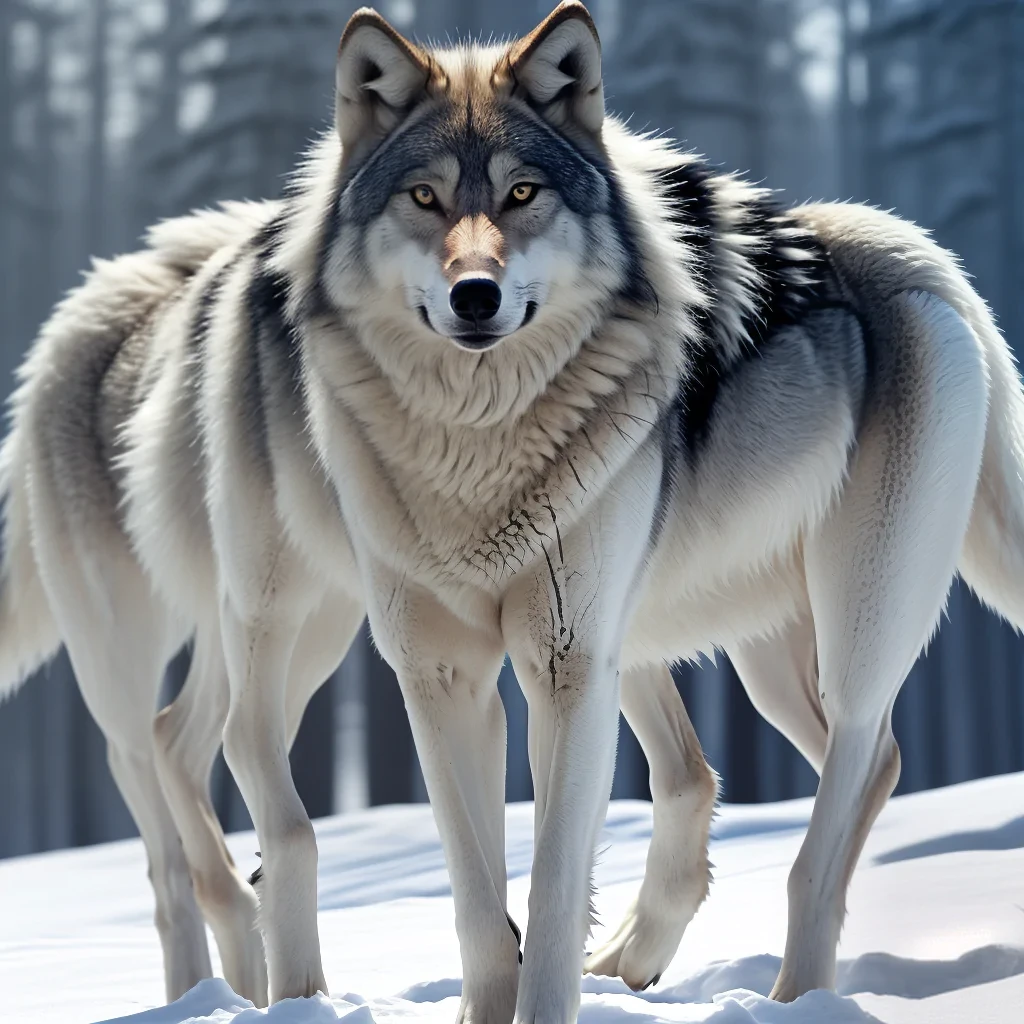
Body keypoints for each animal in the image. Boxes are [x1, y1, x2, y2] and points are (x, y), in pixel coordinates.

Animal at [2, 0, 1022, 1019]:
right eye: (424, 199)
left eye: (524, 193)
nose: (476, 295)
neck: (474, 446)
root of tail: (919, 261)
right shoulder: (439, 668)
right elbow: (474, 897)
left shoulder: (565, 664)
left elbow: (551, 883)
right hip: (310, 628)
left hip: (839, 629)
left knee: (840, 784)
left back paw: (783, 991)